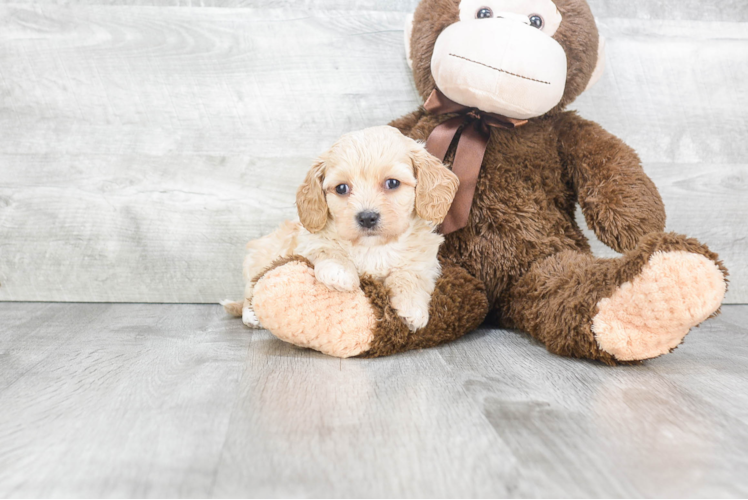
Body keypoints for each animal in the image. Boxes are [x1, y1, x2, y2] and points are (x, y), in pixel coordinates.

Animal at [219, 124, 458, 330]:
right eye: (342, 188)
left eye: (392, 183)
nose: (367, 217)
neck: (373, 247)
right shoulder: (310, 241)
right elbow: (329, 250)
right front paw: (340, 273)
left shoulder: (424, 260)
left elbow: (410, 275)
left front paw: (412, 309)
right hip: (260, 259)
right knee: (250, 291)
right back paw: (251, 315)